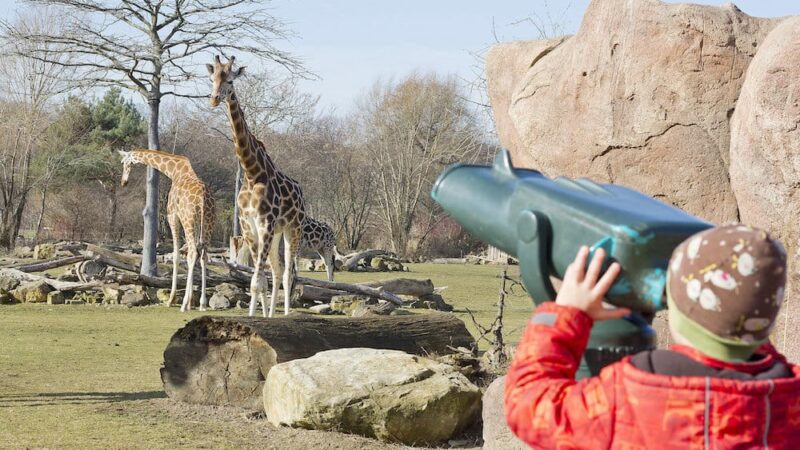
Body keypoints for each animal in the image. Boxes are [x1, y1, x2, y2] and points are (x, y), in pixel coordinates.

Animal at [116, 149, 214, 312]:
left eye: (124, 162)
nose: (123, 182)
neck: (174, 172)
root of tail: (203, 199)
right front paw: (190, 302)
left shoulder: (172, 216)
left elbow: (176, 255)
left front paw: (172, 300)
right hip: (208, 224)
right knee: (203, 256)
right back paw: (202, 304)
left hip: (189, 221)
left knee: (193, 253)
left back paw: (184, 305)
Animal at [206, 55, 306, 316]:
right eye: (212, 78)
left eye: (230, 80)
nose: (214, 99)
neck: (252, 174)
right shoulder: (248, 226)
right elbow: (258, 281)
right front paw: (256, 318)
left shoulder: (265, 224)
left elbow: (257, 280)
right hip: (277, 233)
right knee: (277, 271)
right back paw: (270, 314)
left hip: (293, 229)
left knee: (288, 274)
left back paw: (286, 314)